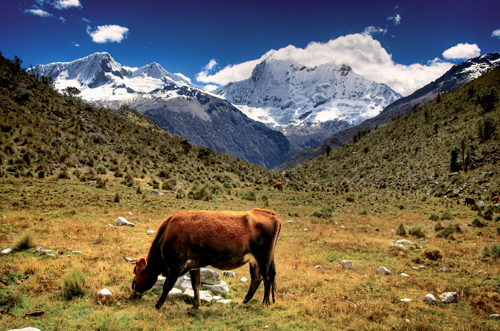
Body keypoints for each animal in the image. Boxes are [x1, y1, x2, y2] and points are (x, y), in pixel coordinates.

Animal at [124, 209, 282, 310]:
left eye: (136, 272)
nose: (133, 291)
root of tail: (268, 212)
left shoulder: (175, 265)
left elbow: (167, 286)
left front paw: (157, 305)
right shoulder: (193, 265)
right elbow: (196, 285)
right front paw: (195, 305)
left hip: (263, 257)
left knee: (266, 278)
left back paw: (265, 303)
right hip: (254, 261)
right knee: (256, 279)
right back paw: (245, 301)